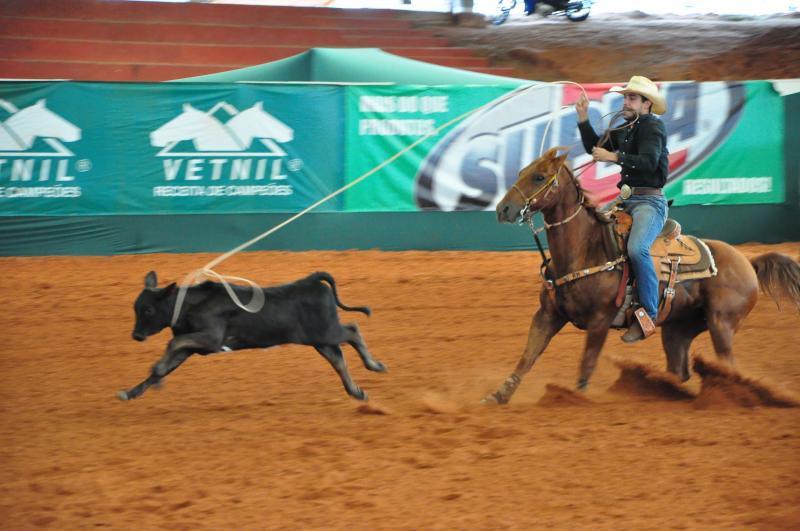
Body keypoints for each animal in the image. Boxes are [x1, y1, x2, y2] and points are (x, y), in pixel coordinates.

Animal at [482, 148, 800, 406]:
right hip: (678, 330)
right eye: (521, 172)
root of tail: (747, 261)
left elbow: (587, 363)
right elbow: (527, 357)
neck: (587, 250)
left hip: (722, 323)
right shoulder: (547, 315)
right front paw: (498, 395)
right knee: (680, 368)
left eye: (539, 177)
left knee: (728, 365)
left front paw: (574, 397)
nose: (503, 209)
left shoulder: (600, 321)